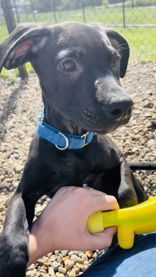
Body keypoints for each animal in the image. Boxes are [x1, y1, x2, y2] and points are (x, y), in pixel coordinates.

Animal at [0, 22, 145, 274]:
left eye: (115, 60)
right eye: (68, 65)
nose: (123, 105)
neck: (71, 142)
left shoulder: (119, 160)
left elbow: (125, 191)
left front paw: (124, 224)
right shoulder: (23, 191)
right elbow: (13, 225)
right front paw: (9, 263)